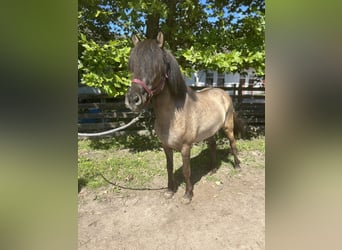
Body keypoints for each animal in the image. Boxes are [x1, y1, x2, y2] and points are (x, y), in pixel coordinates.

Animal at [125, 31, 240, 203]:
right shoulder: (166, 146)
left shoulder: (186, 147)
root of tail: (222, 92)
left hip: (228, 127)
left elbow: (186, 170)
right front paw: (170, 191)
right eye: (132, 66)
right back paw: (212, 169)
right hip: (210, 131)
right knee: (212, 146)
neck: (173, 116)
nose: (133, 100)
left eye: (157, 66)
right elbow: (169, 167)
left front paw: (187, 195)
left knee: (233, 144)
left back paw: (238, 166)